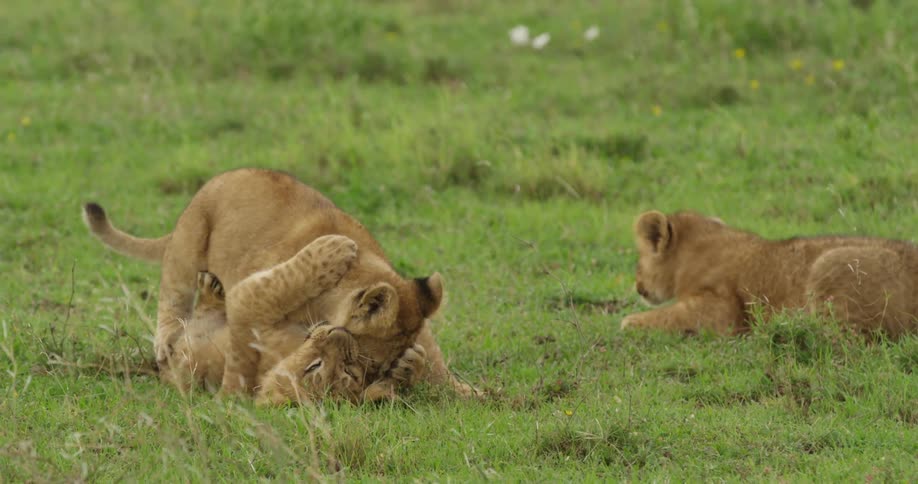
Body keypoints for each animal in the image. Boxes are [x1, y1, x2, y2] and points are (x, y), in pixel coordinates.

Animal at [83, 168, 475, 397]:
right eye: (366, 362)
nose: (375, 376)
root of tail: (222, 176)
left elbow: (434, 357)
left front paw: (454, 387)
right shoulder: (256, 291)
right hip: (189, 241)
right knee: (173, 293)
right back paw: (166, 339)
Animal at [621, 210, 918, 337]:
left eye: (639, 260)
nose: (637, 285)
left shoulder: (721, 311)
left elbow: (667, 316)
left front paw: (629, 321)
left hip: (831, 263)